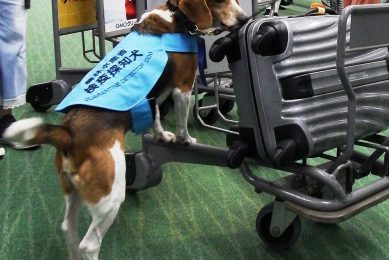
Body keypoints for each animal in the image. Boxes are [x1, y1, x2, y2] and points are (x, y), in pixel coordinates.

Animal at [3, 1, 246, 258]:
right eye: (220, 2)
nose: (244, 19)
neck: (175, 17)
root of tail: (68, 135)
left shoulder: (152, 98)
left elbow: (156, 118)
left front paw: (162, 136)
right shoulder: (182, 87)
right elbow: (181, 123)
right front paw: (185, 140)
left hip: (72, 191)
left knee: (68, 228)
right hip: (110, 195)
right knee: (89, 243)